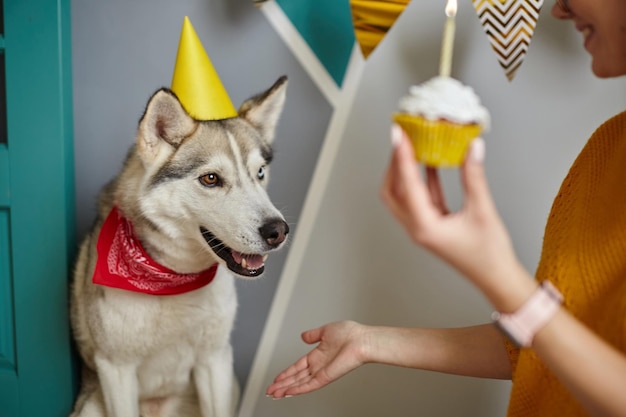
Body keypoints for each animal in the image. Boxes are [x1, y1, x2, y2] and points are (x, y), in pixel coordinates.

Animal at [69, 76, 288, 414]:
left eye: (260, 173)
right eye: (211, 179)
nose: (278, 231)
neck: (174, 278)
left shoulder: (215, 359)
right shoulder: (116, 368)